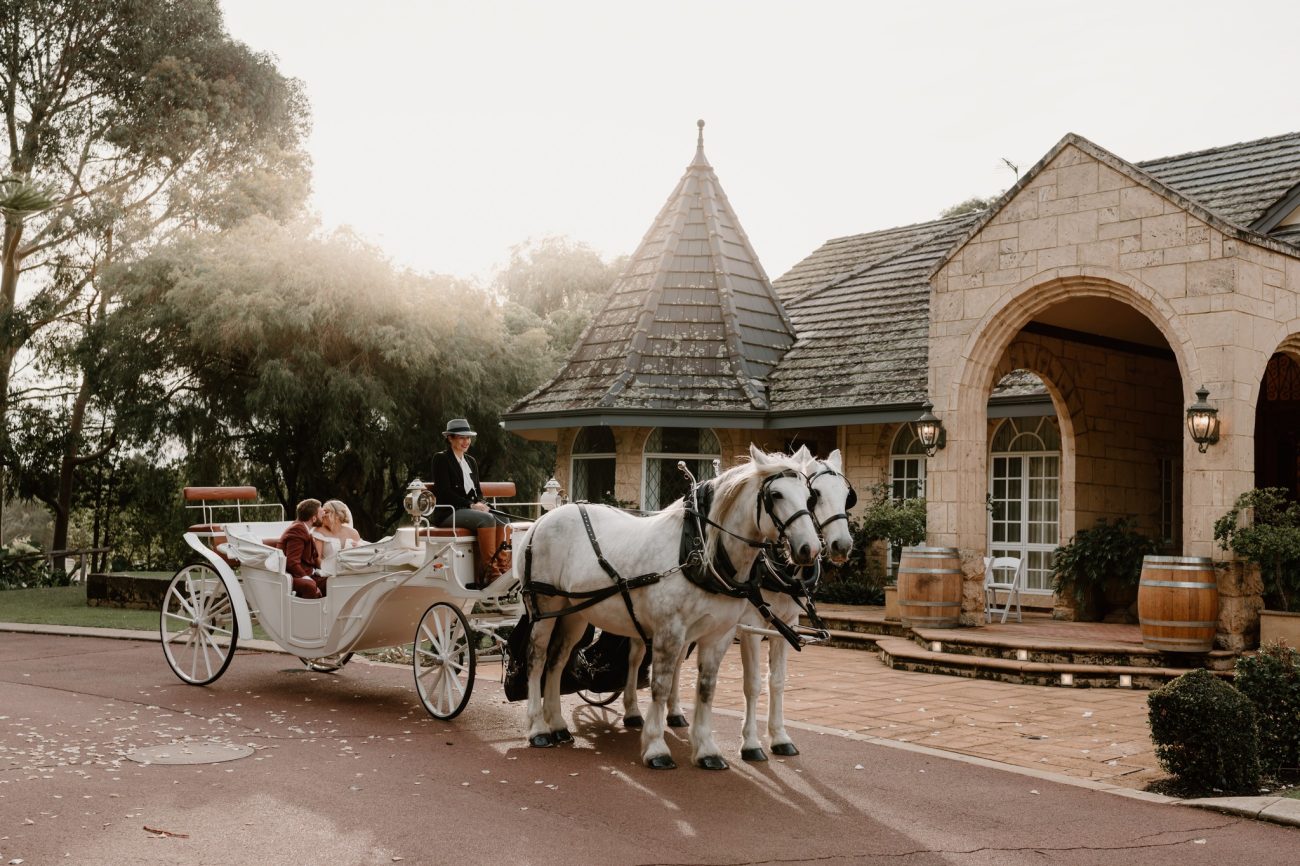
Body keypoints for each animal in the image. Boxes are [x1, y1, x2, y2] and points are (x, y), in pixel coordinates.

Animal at [514, 444, 811, 769]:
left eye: (809, 495)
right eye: (776, 495)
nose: (808, 548)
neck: (699, 551)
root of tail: (543, 519)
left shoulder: (717, 635)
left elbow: (707, 688)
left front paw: (706, 749)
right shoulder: (670, 632)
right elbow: (661, 684)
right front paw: (656, 747)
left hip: (575, 612)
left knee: (557, 660)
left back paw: (557, 724)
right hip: (546, 606)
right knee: (537, 659)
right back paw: (538, 728)